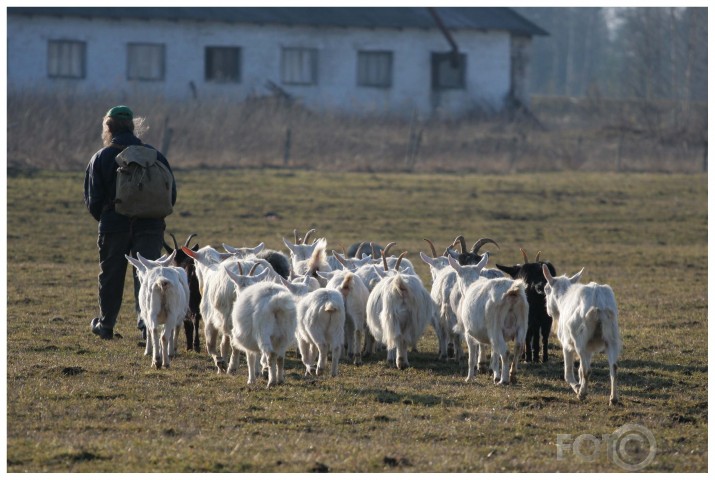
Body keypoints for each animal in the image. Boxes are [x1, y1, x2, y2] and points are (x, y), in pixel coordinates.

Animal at [456, 256, 528, 384]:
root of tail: (513, 291)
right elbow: (494, 353)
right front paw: (495, 375)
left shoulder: (469, 333)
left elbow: (471, 358)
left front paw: (469, 378)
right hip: (522, 325)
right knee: (518, 347)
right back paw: (512, 375)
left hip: (495, 326)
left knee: (505, 352)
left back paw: (504, 380)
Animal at [544, 266, 620, 404]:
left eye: (546, 289)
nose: (548, 311)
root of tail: (597, 296)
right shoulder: (589, 348)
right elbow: (579, 369)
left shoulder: (567, 344)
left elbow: (568, 373)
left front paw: (577, 387)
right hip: (612, 338)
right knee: (614, 367)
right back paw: (613, 399)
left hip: (580, 340)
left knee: (587, 370)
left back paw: (582, 394)